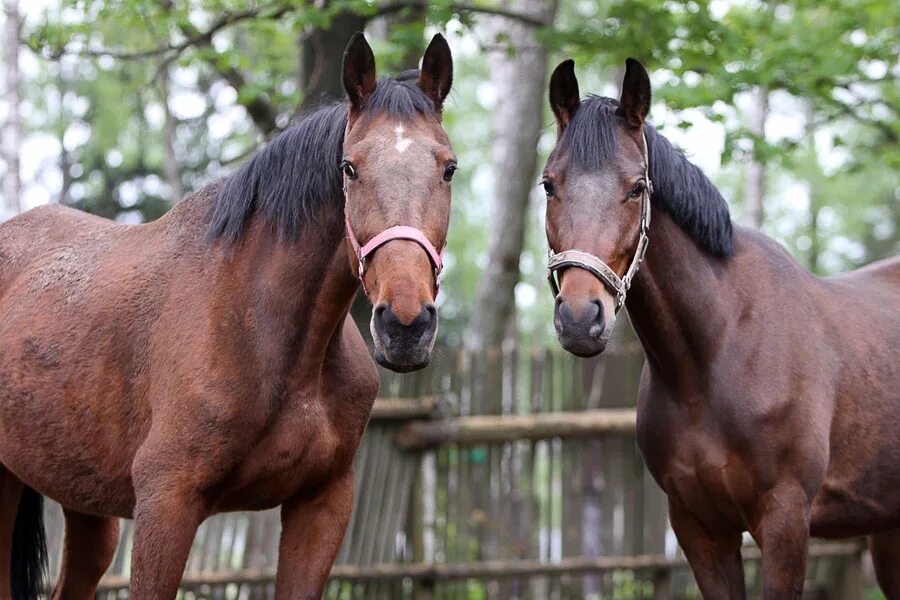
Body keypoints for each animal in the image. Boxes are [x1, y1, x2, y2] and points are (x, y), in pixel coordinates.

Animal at [0, 34, 458, 600]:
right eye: (349, 168)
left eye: (448, 167)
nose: (405, 326)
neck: (263, 330)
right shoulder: (165, 505)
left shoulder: (321, 506)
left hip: (85, 505)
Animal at [540, 58, 900, 596]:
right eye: (549, 184)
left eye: (637, 187)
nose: (581, 319)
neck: (716, 353)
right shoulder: (699, 529)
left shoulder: (785, 521)